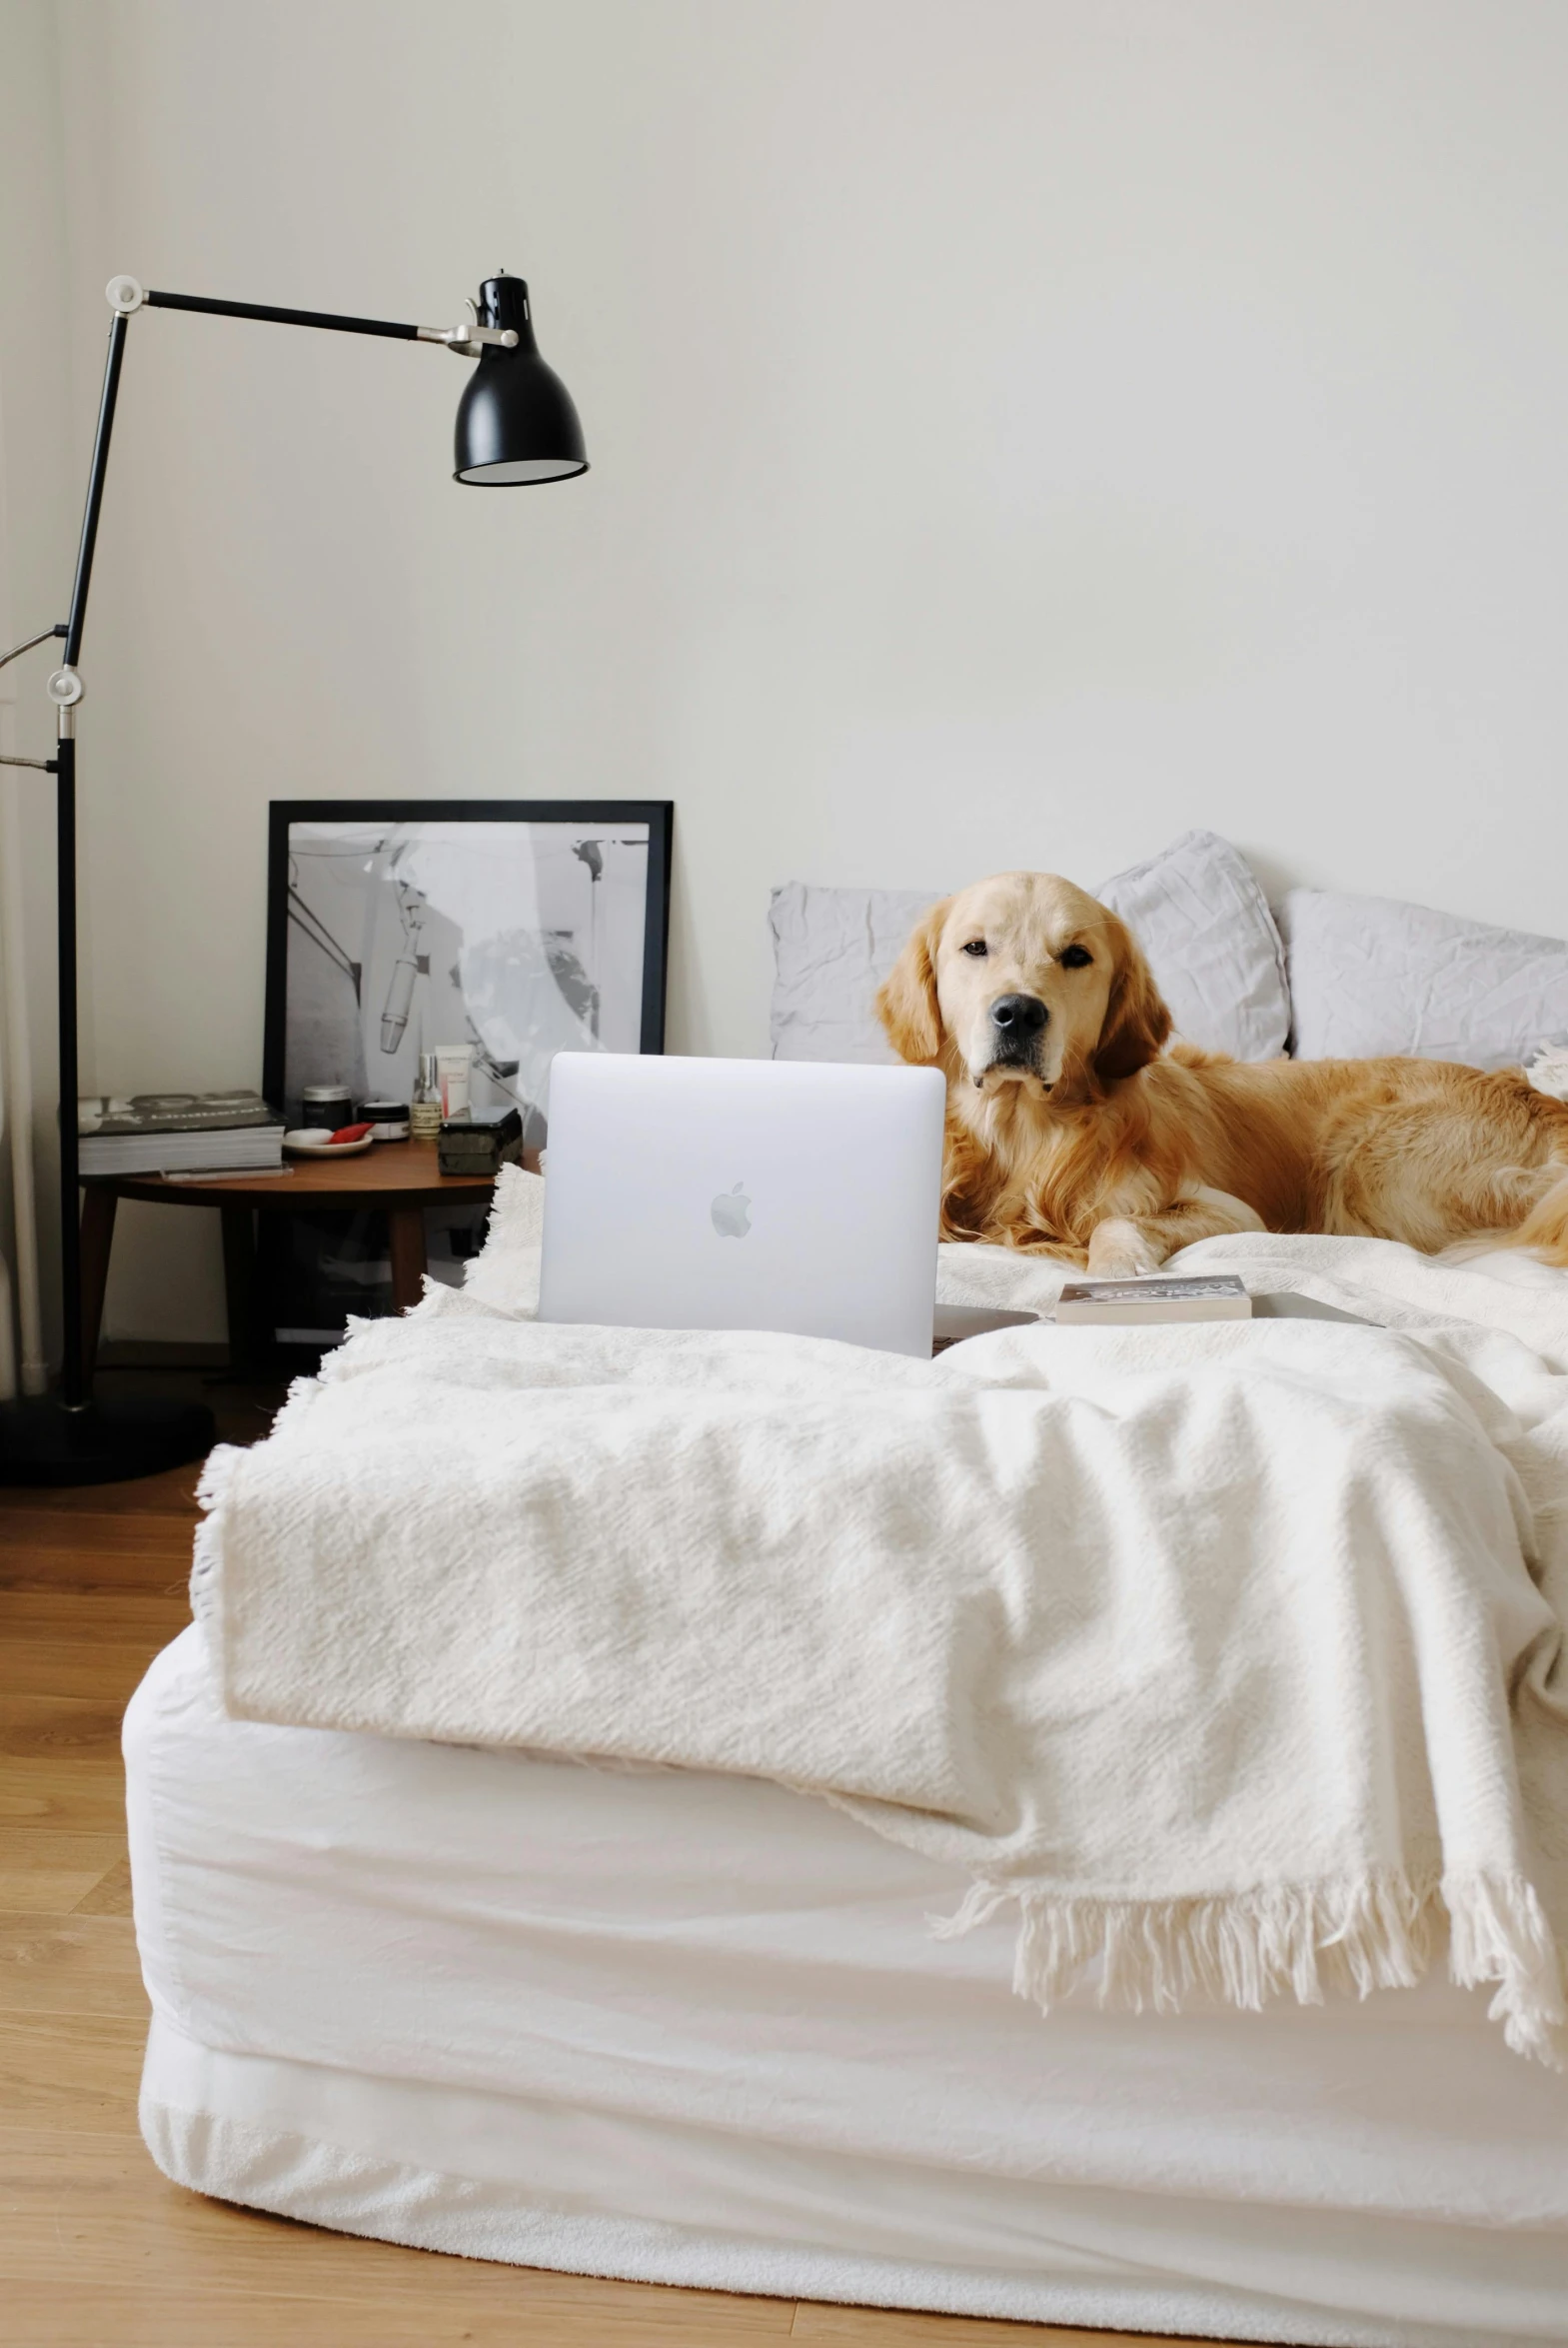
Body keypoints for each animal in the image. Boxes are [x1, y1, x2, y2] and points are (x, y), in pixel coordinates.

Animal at [868, 878, 1568, 1286]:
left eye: (1076, 956)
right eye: (975, 948)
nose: (1018, 1012)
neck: (1024, 1136)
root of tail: (1542, 1100)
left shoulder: (1229, 1212)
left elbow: (1115, 1223)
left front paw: (1117, 1264)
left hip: (1368, 1161)